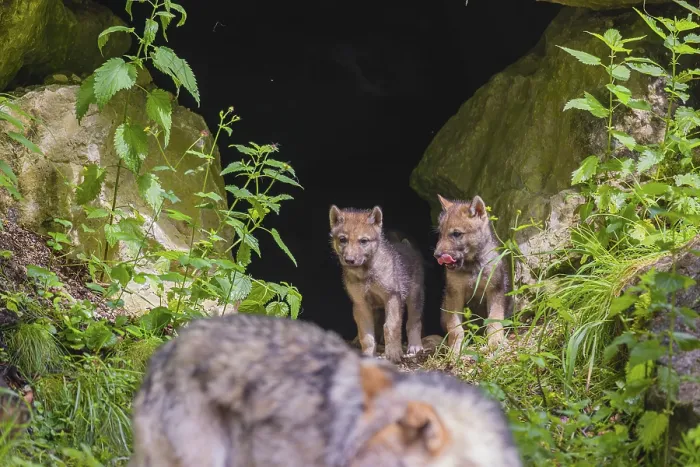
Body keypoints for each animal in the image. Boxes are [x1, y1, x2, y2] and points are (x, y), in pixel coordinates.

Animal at [329, 205, 424, 363]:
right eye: (343, 239)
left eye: (363, 241)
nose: (349, 260)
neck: (367, 275)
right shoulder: (360, 303)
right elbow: (366, 335)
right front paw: (368, 355)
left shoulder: (392, 297)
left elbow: (391, 326)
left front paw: (394, 354)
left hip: (415, 297)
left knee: (413, 322)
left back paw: (415, 346)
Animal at [433, 194, 512, 356]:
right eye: (440, 233)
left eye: (456, 234)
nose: (436, 255)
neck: (473, 267)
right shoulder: (454, 293)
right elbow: (455, 328)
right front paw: (455, 349)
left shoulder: (495, 289)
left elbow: (494, 319)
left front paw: (495, 342)